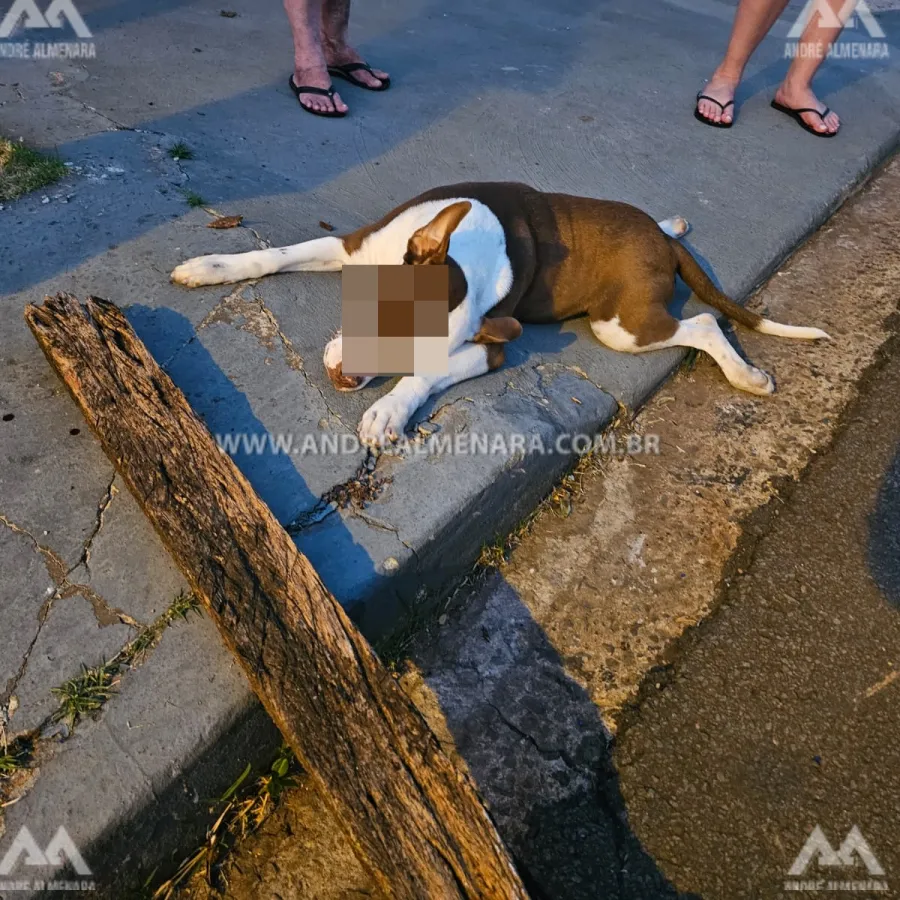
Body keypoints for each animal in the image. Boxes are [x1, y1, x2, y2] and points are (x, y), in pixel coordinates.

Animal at [171, 182, 828, 446]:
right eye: (378, 312)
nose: (346, 380)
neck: (466, 250)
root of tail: (662, 246)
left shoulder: (490, 346)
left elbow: (426, 377)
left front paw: (387, 410)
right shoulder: (356, 247)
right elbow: (275, 254)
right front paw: (210, 266)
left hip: (622, 325)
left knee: (703, 323)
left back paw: (745, 374)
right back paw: (674, 220)